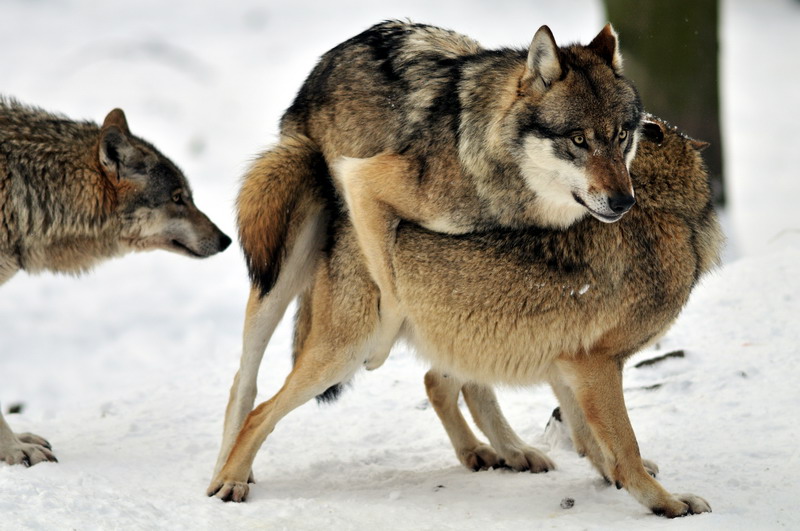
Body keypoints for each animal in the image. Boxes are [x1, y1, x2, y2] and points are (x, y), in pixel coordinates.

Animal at [210, 115, 722, 518]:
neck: (667, 210)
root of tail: (342, 214)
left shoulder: (570, 365)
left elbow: (594, 441)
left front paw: (613, 478)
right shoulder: (596, 363)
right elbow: (626, 446)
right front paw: (667, 503)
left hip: (465, 335)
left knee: (437, 384)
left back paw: (496, 453)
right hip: (345, 353)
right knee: (257, 407)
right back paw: (230, 481)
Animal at [213, 20, 643, 481]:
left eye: (621, 135)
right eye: (578, 139)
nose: (623, 202)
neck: (485, 158)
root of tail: (324, 64)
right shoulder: (363, 182)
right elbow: (392, 295)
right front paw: (380, 349)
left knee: (454, 381)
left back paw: (507, 450)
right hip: (281, 264)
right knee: (245, 380)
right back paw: (227, 472)